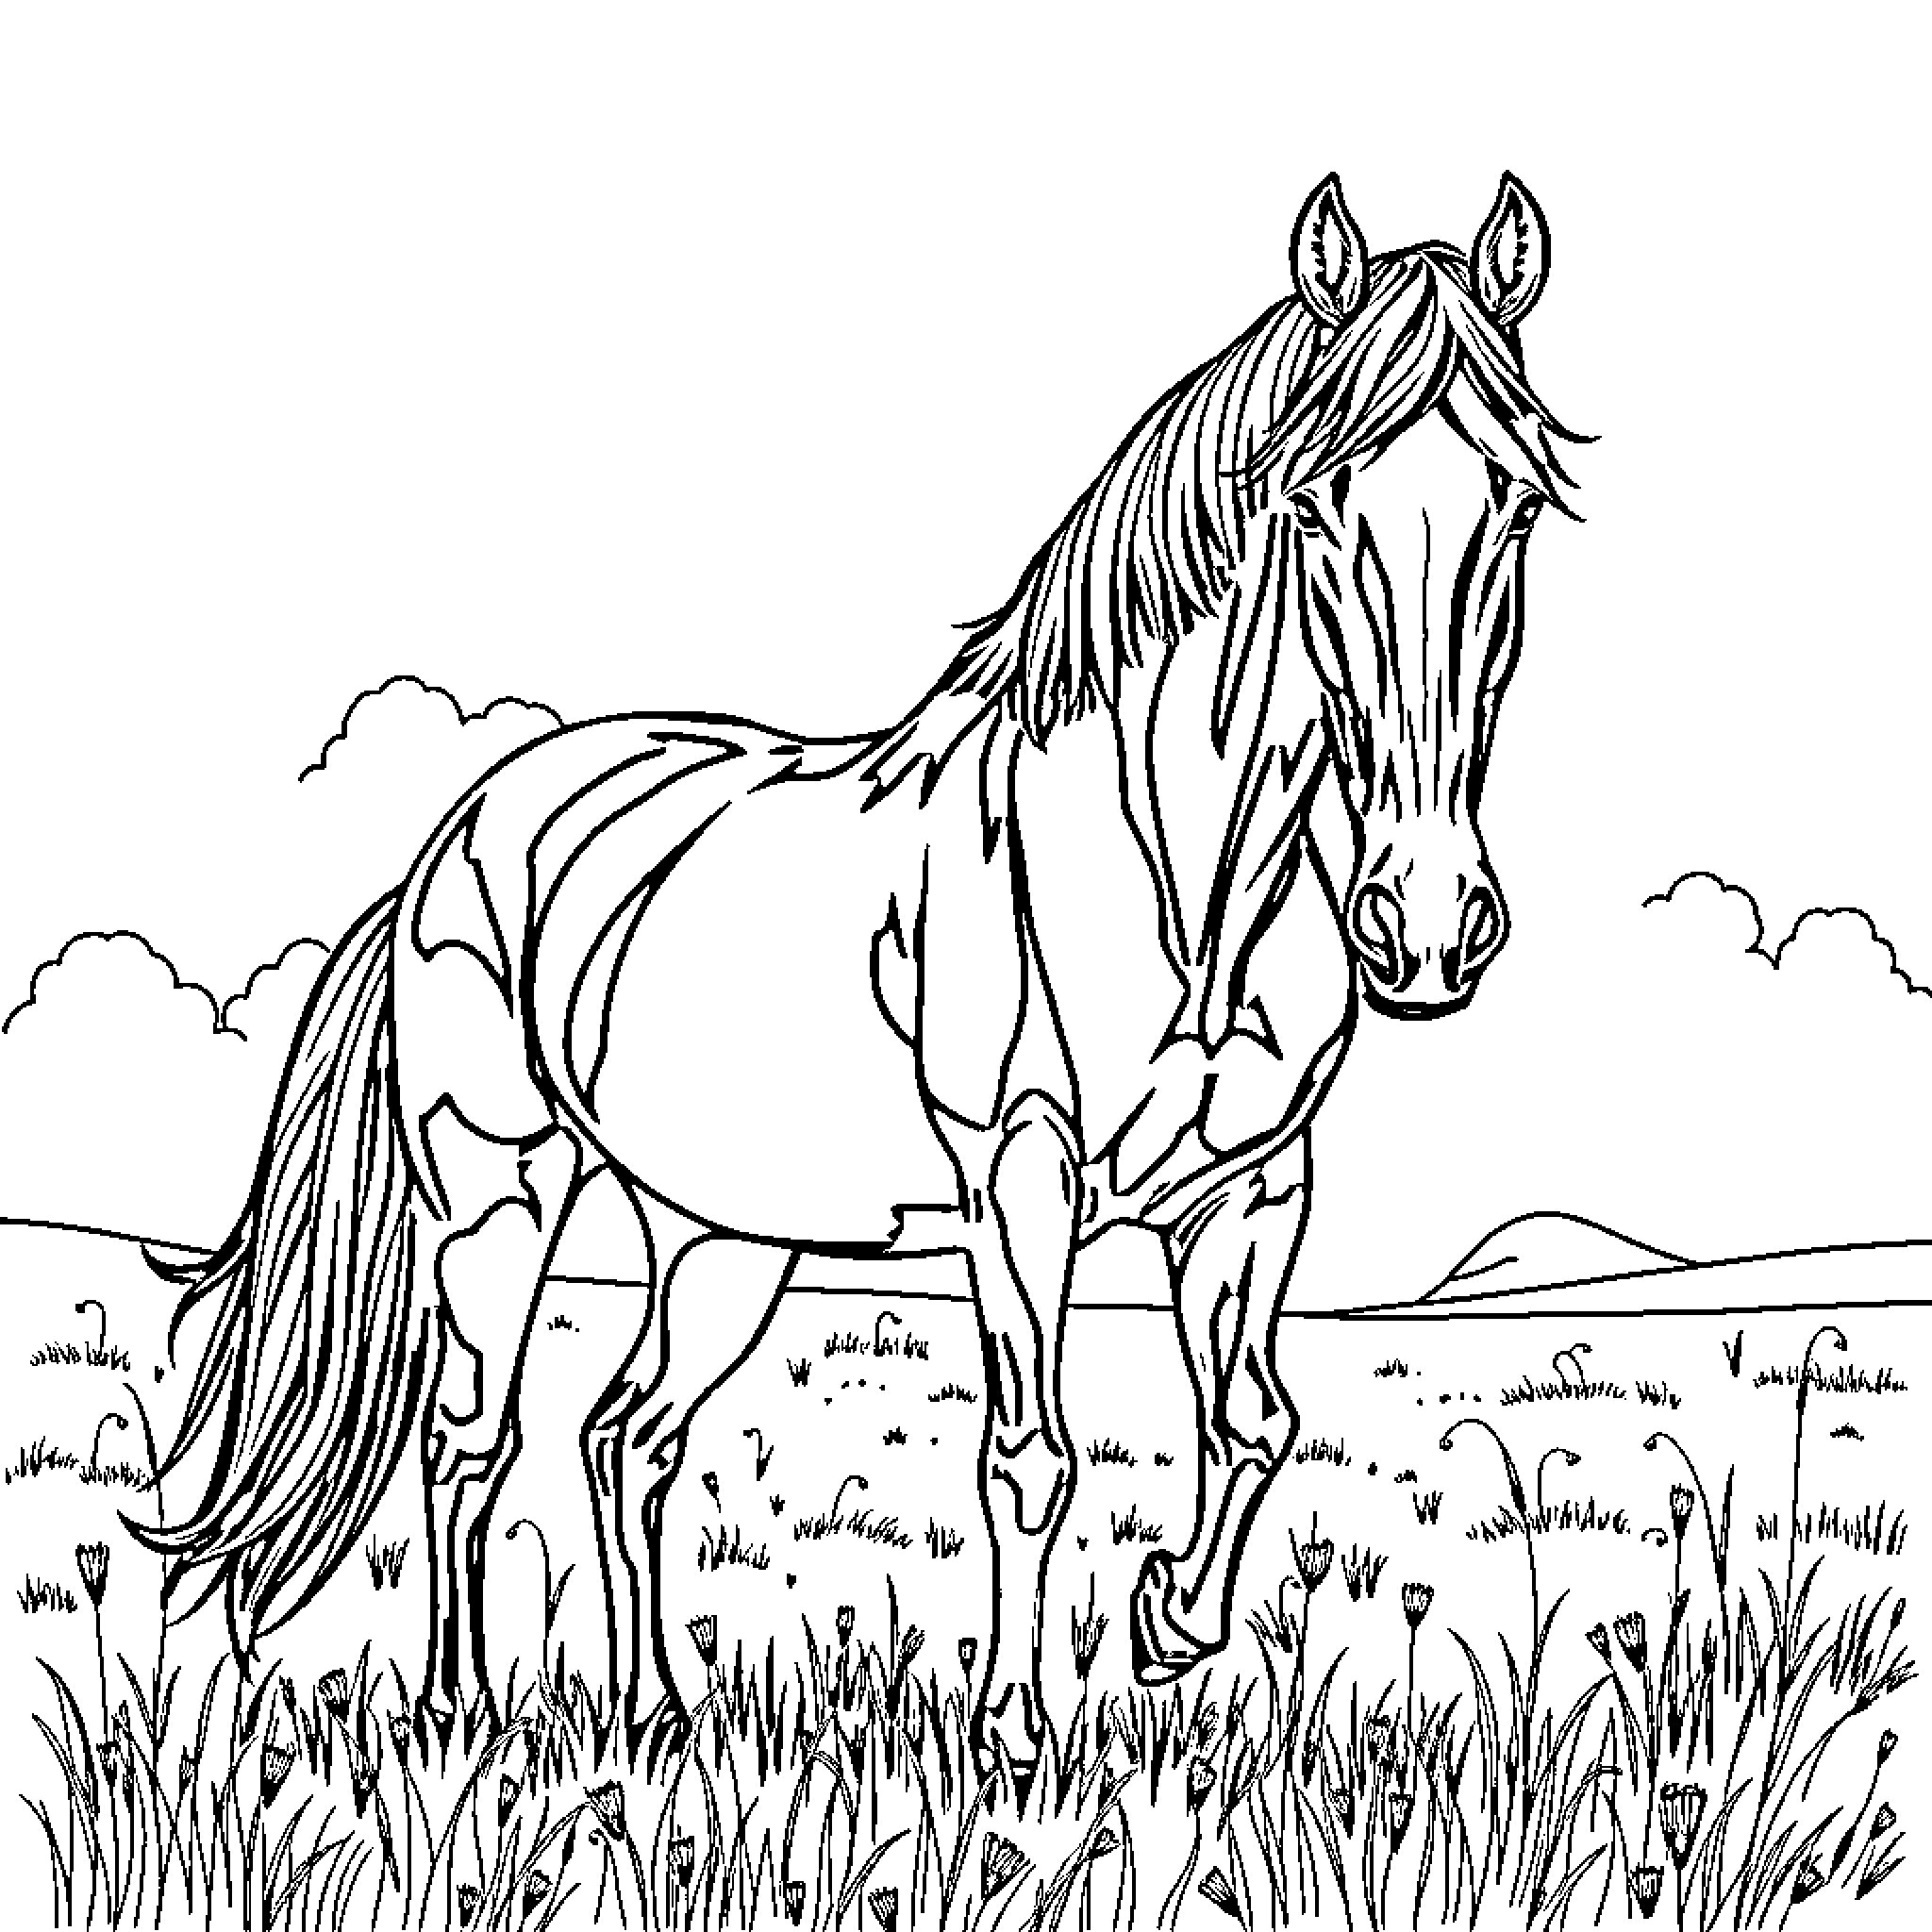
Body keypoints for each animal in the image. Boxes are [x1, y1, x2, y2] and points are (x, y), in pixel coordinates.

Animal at [132, 172, 1583, 1779]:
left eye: (1517, 501)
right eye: (1316, 506)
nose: (1430, 924)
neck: (1175, 882)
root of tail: (466, 828)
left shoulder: (1257, 1193)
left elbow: (1256, 1426)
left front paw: (1162, 1626)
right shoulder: (1022, 1182)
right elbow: (1028, 1458)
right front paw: (1016, 1736)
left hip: (719, 1235)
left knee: (627, 1434)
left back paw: (659, 1718)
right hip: (496, 1195)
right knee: (473, 1439)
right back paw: (464, 1718)